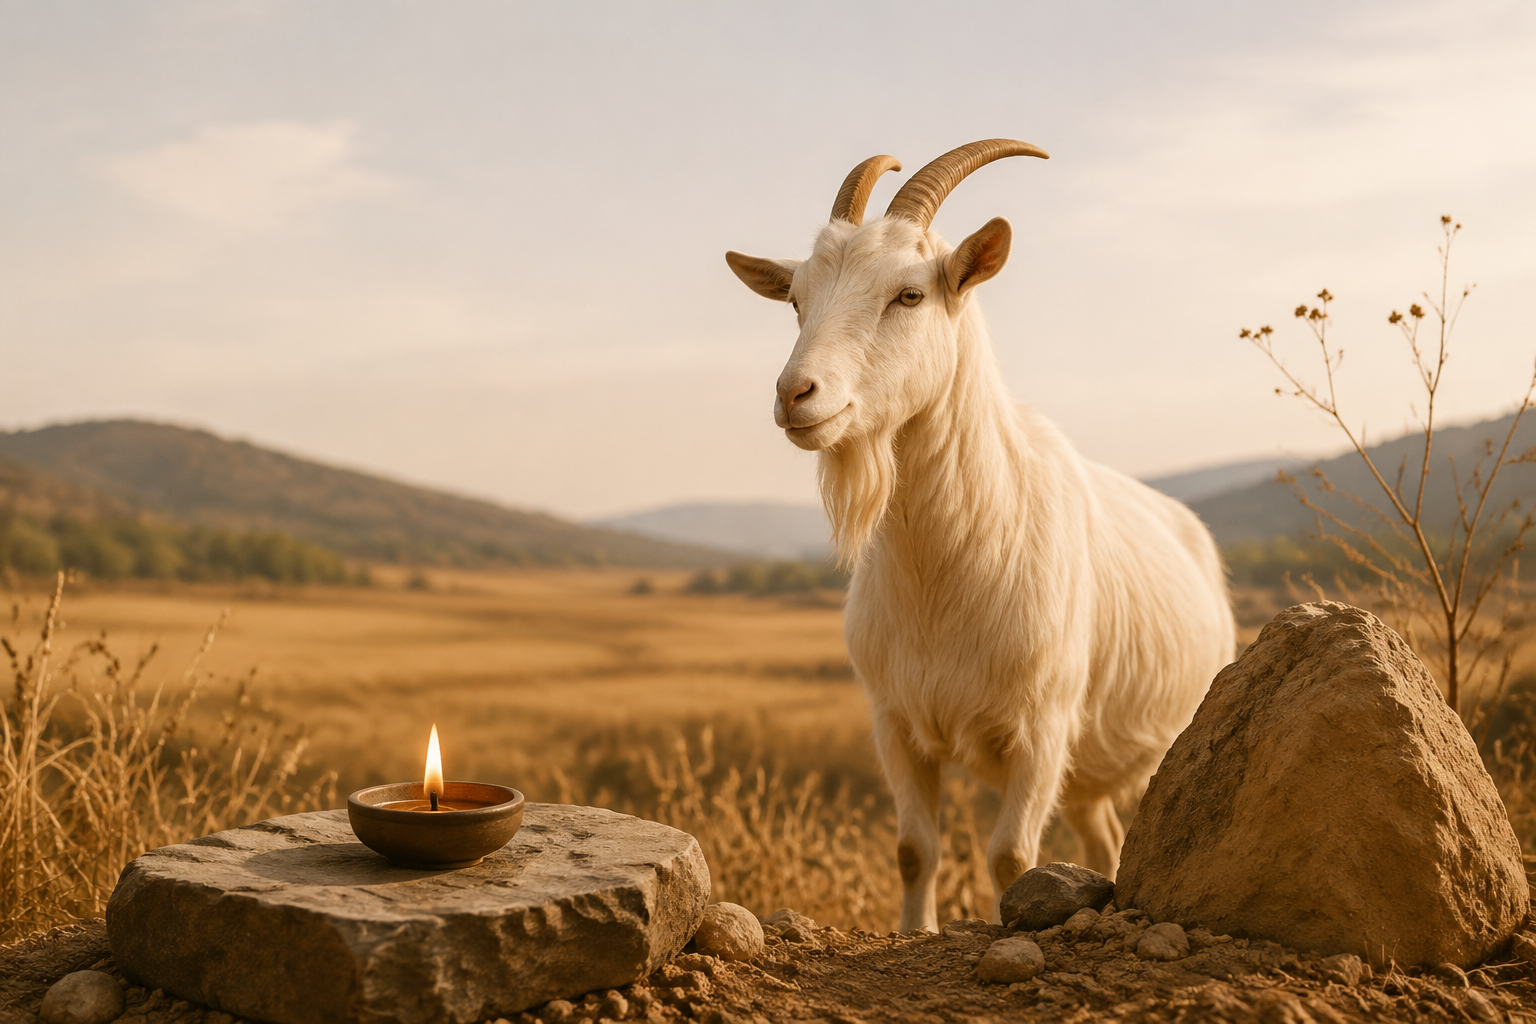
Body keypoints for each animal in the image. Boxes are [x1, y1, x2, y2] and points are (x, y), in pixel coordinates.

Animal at [724, 140, 1235, 932]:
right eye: (796, 300)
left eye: (909, 295)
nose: (795, 395)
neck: (950, 562)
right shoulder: (895, 723)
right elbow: (914, 850)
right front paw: (914, 932)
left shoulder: (1043, 730)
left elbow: (1011, 858)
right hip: (1085, 774)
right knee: (1102, 834)